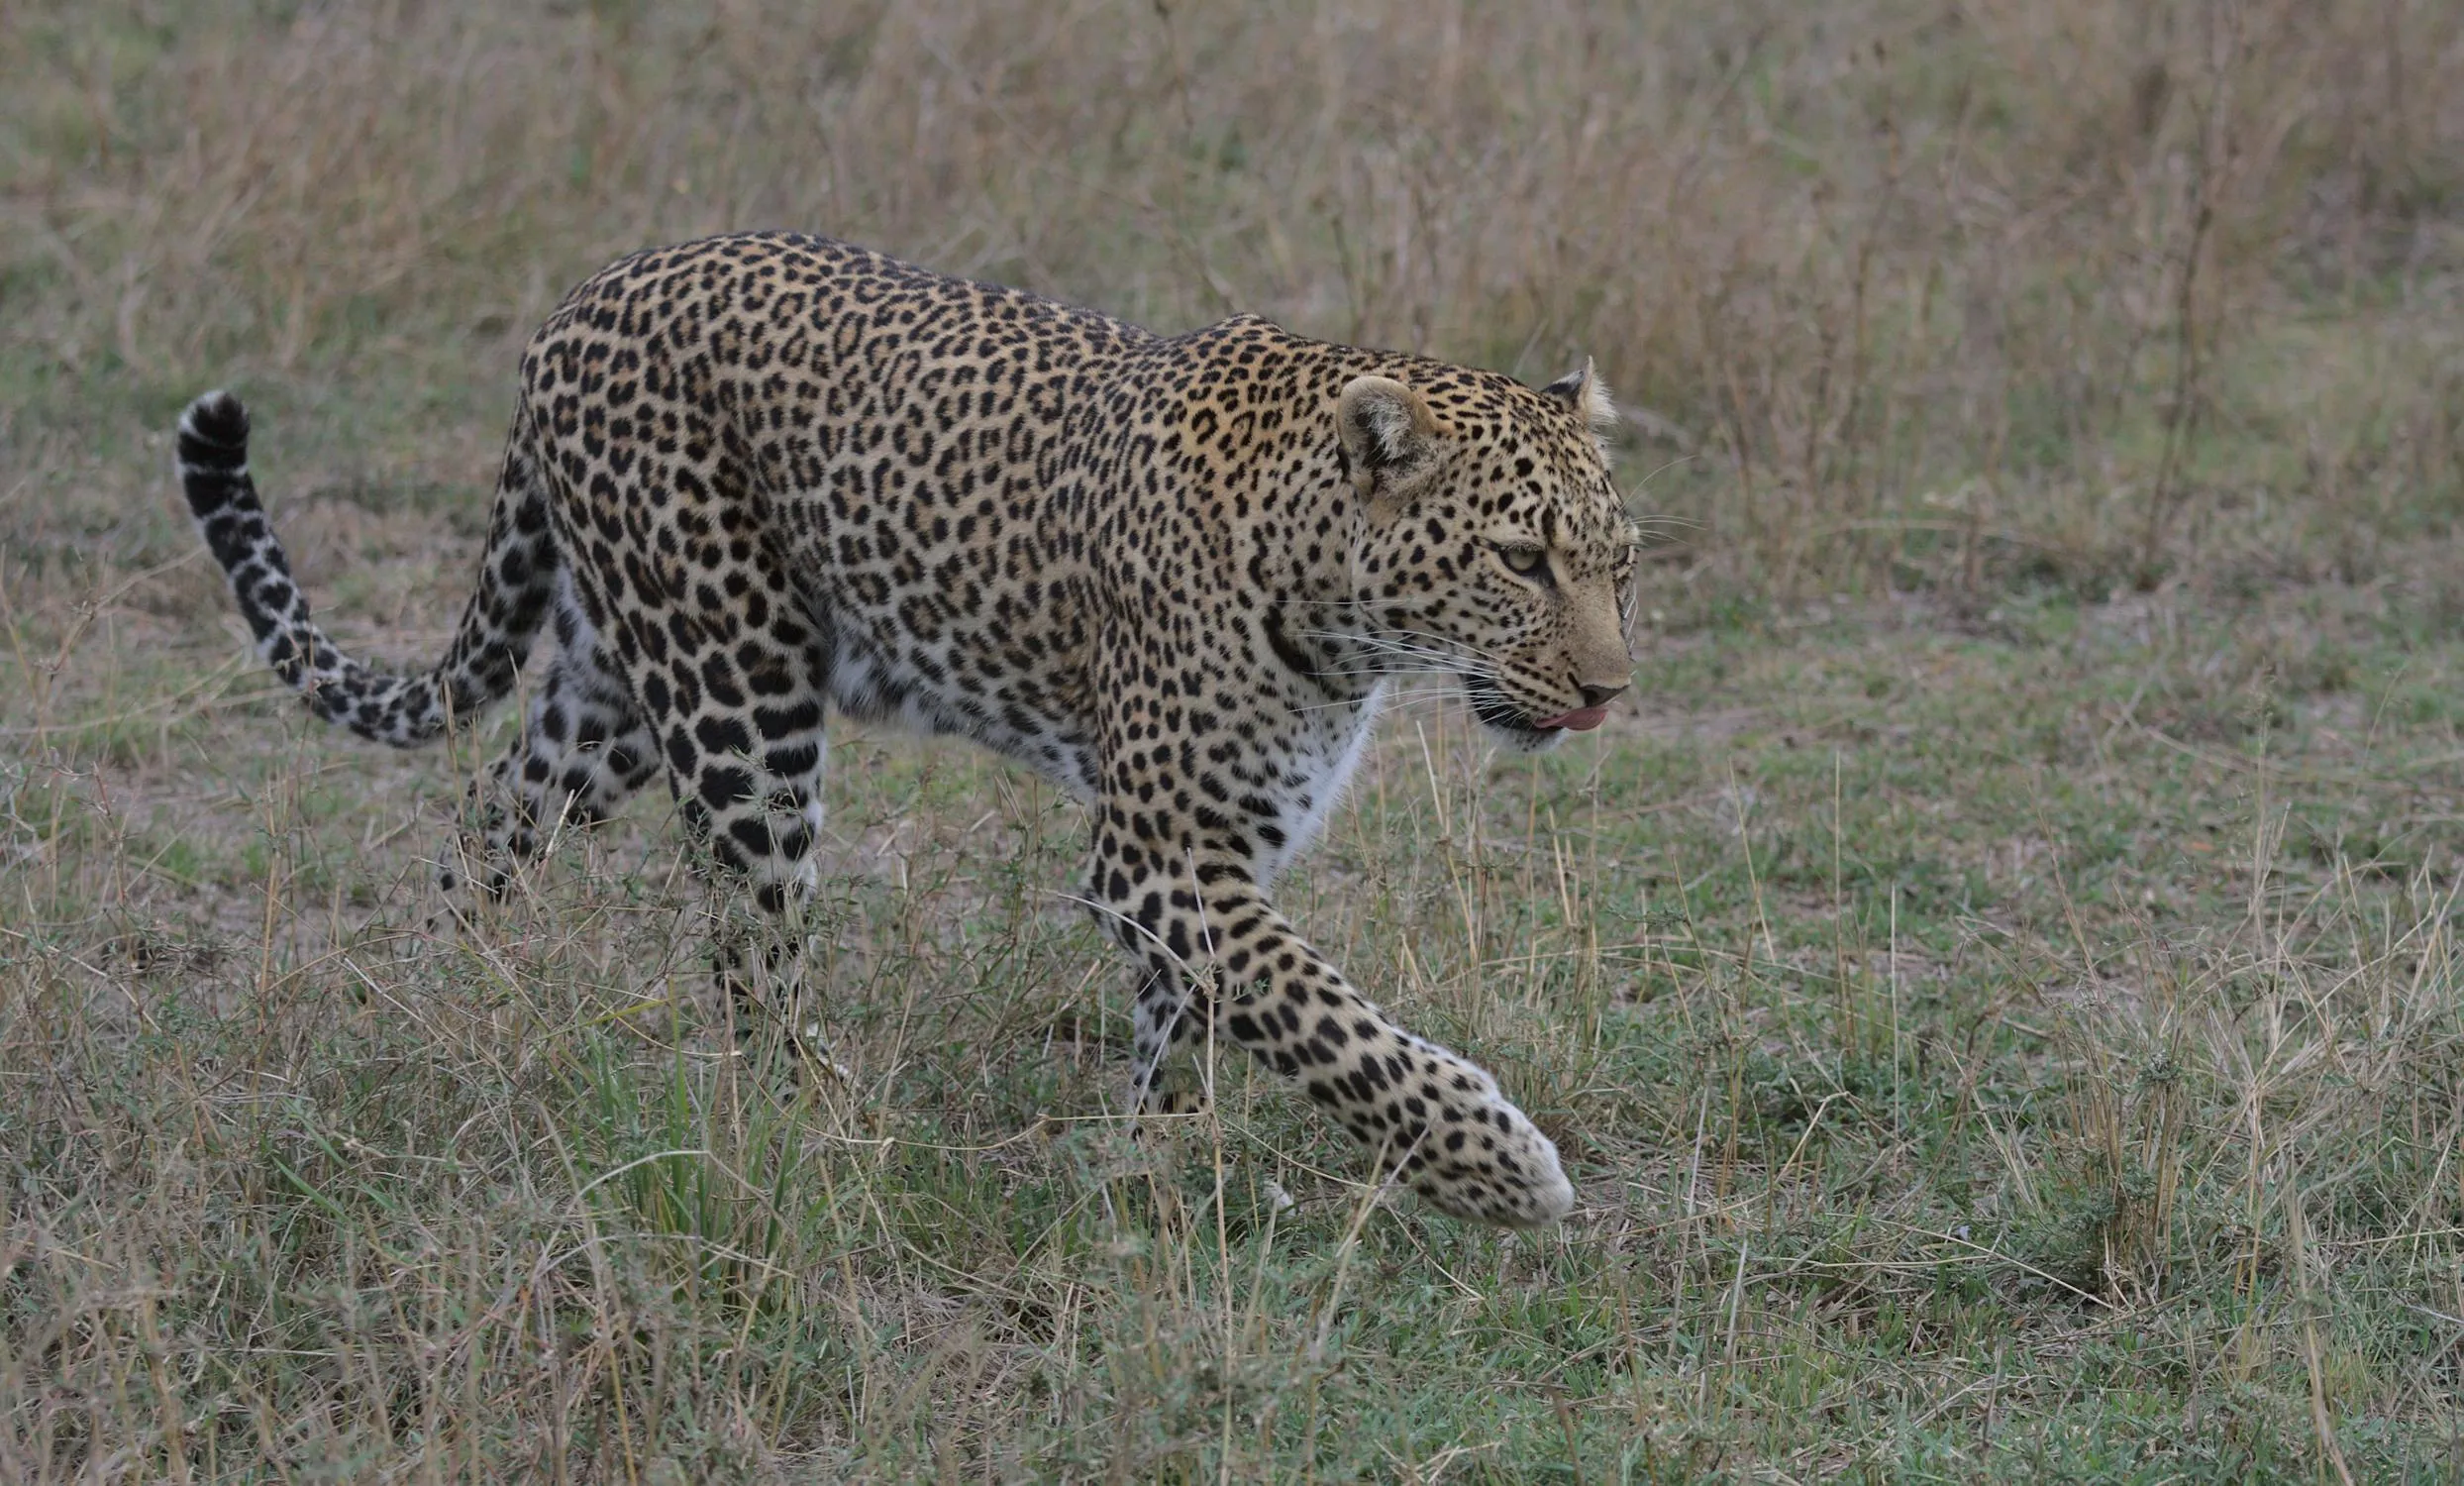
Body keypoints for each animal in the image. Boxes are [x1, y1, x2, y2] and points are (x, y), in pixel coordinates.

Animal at [177, 230, 1639, 1227]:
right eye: (1519, 560)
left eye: (1618, 564)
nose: (1610, 692)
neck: (1341, 613)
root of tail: (582, 297)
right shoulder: (1158, 853)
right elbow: (1320, 1013)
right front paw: (1500, 1167)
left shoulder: (1221, 845)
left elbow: (1200, 1014)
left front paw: (1164, 1164)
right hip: (738, 698)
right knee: (748, 952)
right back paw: (827, 1131)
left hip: (617, 696)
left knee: (484, 830)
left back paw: (456, 1018)